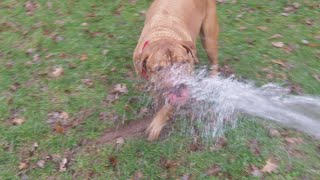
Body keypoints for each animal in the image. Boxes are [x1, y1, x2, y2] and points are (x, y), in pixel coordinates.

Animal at [131, 0, 219, 141]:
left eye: (183, 62)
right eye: (159, 68)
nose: (179, 85)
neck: (162, 34)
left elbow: (169, 106)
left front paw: (157, 123)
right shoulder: (151, 82)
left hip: (208, 37)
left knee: (214, 61)